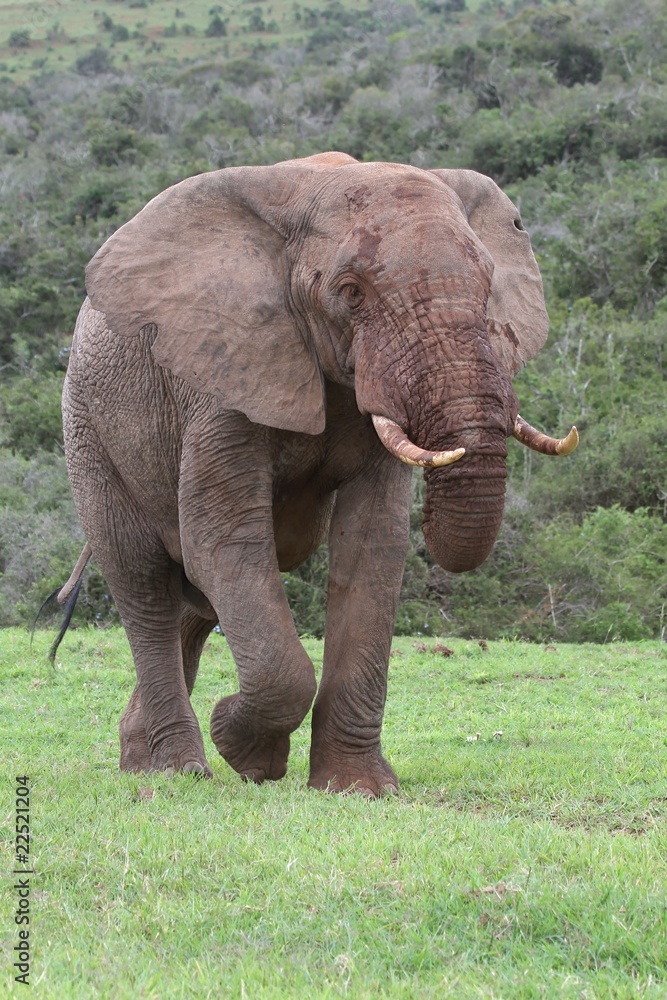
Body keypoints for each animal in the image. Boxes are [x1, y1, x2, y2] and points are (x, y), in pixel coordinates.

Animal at [58, 151, 577, 796]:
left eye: (487, 286)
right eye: (350, 292)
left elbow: (373, 547)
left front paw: (358, 788)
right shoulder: (223, 375)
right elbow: (225, 541)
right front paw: (247, 752)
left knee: (195, 598)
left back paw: (141, 757)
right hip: (88, 429)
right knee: (144, 580)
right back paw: (178, 770)